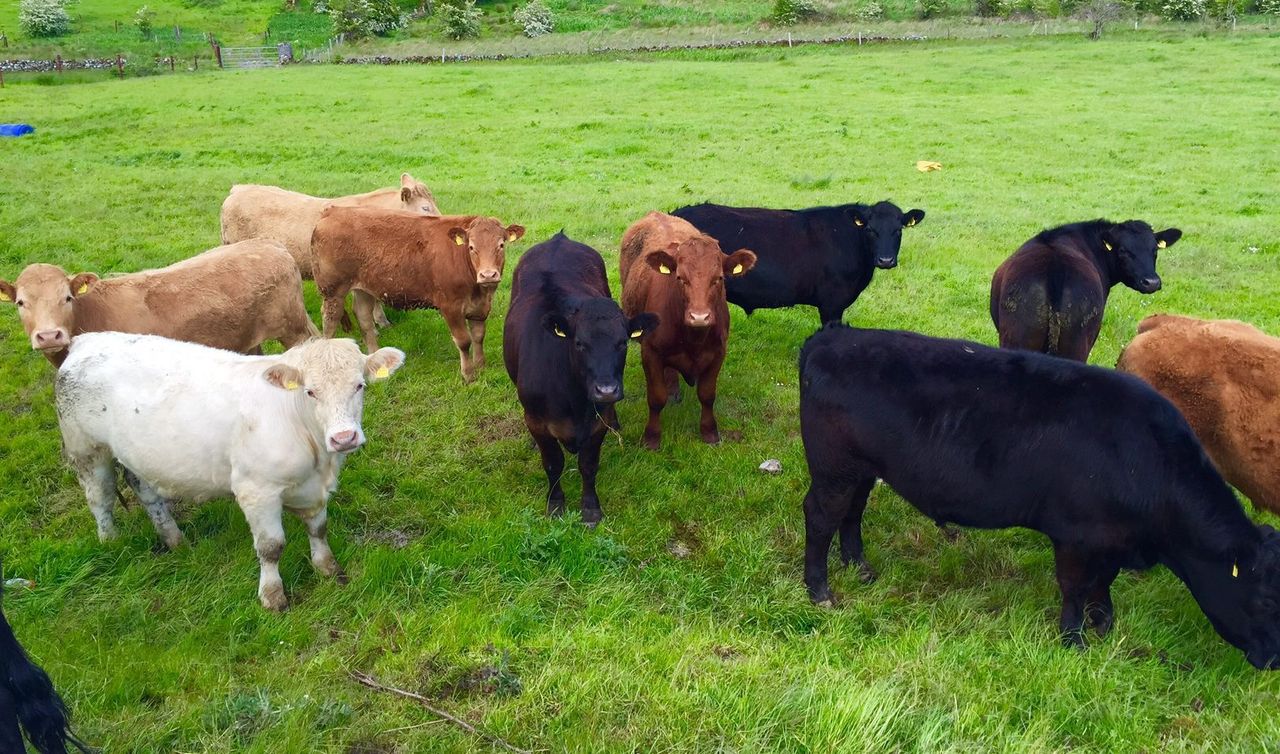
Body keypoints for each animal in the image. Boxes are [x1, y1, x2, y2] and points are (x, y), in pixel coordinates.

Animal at [55, 332, 405, 611]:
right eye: (310, 391)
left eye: (359, 385)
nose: (344, 438)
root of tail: (86, 340)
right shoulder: (256, 490)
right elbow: (271, 547)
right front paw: (272, 596)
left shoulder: (314, 487)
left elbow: (318, 529)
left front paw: (328, 568)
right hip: (87, 449)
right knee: (100, 498)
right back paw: (111, 542)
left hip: (137, 455)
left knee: (144, 488)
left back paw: (175, 540)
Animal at [311, 207, 524, 383]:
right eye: (471, 247)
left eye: (501, 245)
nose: (488, 274)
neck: (478, 290)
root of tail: (332, 212)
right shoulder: (450, 306)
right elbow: (464, 341)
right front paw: (469, 375)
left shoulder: (480, 306)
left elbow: (479, 336)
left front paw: (481, 367)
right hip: (333, 290)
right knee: (330, 321)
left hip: (363, 288)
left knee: (364, 320)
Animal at [503, 232, 657, 525]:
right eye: (579, 343)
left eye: (623, 342)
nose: (606, 390)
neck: (573, 400)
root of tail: (558, 238)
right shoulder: (537, 421)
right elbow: (553, 463)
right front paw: (555, 503)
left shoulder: (597, 424)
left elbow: (588, 465)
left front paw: (590, 507)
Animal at [619, 211, 756, 450]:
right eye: (680, 278)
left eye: (719, 278)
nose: (699, 317)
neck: (694, 340)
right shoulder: (650, 352)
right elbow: (656, 397)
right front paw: (651, 438)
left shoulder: (718, 352)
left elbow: (707, 395)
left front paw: (710, 433)